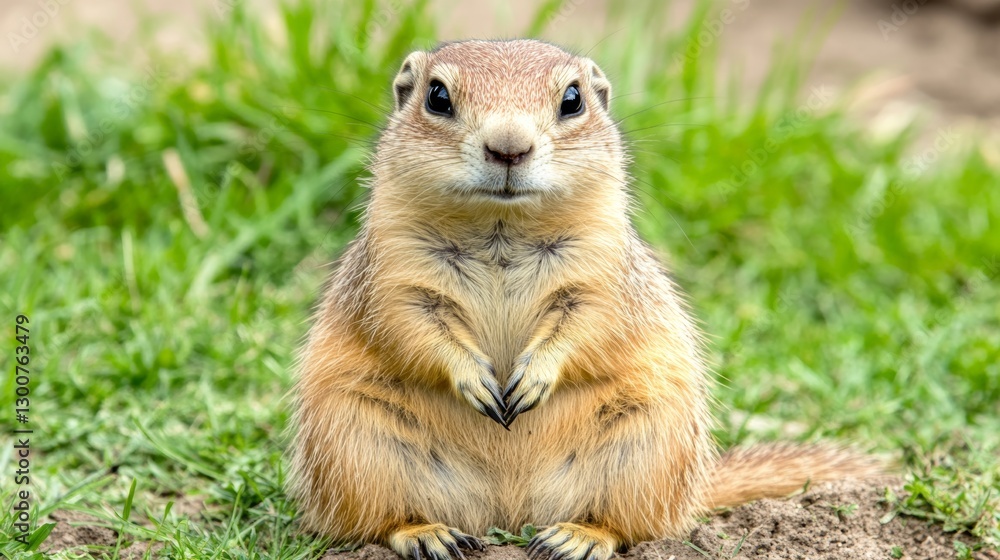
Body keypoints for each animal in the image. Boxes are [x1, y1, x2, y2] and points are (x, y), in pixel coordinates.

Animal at [289, 39, 885, 560]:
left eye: (572, 99)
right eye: (437, 96)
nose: (509, 147)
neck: (501, 224)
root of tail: (506, 511)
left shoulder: (601, 268)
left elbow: (588, 320)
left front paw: (531, 380)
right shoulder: (395, 267)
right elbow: (410, 320)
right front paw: (477, 381)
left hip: (650, 443)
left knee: (630, 524)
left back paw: (575, 537)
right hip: (353, 441)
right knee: (378, 518)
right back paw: (428, 534)